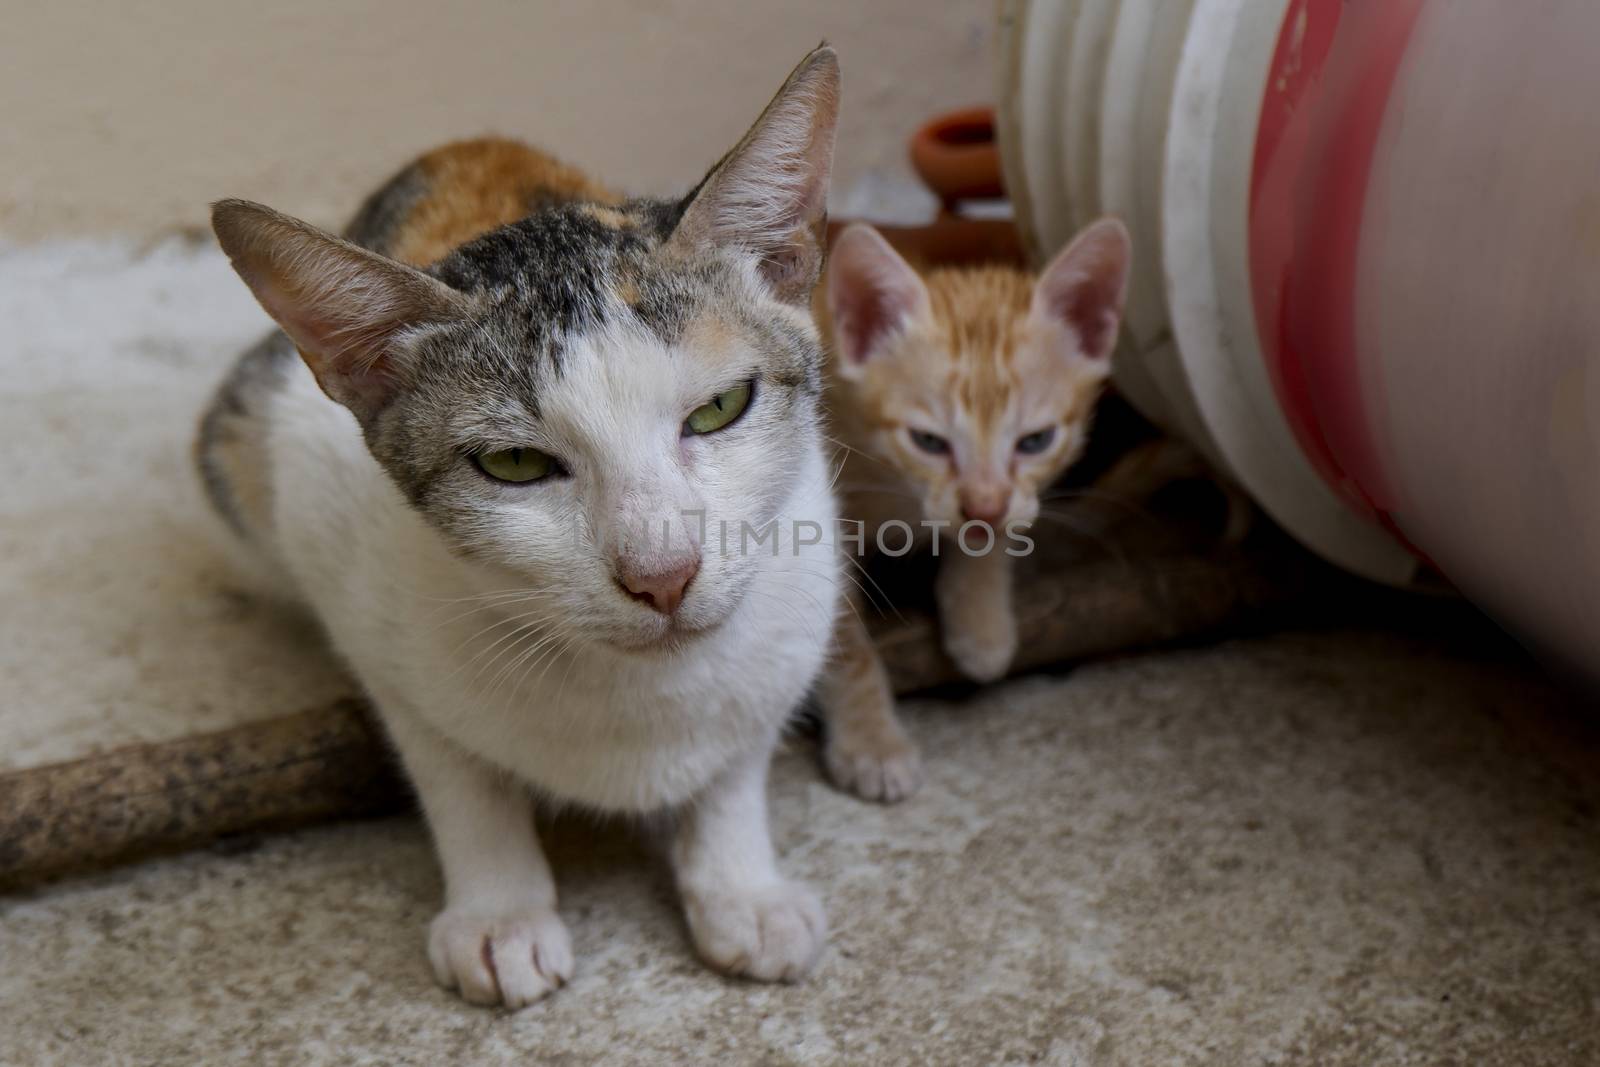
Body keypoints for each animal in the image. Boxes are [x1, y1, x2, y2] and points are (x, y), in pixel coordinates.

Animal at [819, 219, 1132, 799]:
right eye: (928, 441)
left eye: (1034, 442)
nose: (983, 506)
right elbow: (842, 636)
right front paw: (871, 742)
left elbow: (1001, 529)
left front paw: (981, 623)